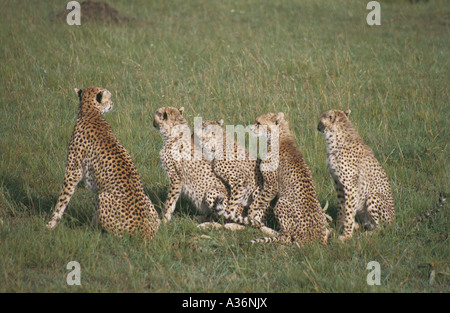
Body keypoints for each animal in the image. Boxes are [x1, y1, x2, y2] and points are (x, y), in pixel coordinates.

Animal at [46, 86, 159, 238]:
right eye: (109, 97)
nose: (112, 104)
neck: (90, 113)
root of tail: (145, 230)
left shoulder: (73, 171)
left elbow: (63, 198)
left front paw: (51, 224)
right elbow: (93, 209)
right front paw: (91, 227)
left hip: (104, 196)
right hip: (147, 201)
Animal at [318, 108, 396, 240]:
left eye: (320, 120)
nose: (317, 126)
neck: (335, 139)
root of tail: (395, 220)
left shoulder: (350, 185)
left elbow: (349, 210)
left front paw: (346, 235)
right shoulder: (338, 183)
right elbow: (341, 206)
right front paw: (339, 225)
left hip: (373, 197)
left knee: (382, 227)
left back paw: (368, 233)